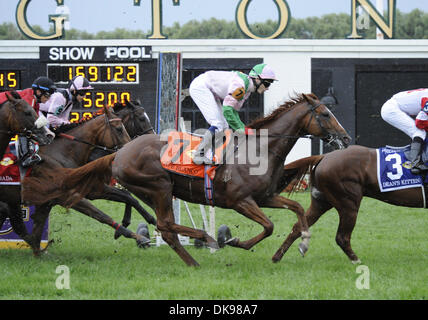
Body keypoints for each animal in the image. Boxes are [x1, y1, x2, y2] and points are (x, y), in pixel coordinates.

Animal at [30, 94, 352, 266]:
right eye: (325, 114)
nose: (346, 138)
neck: (261, 149)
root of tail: (120, 151)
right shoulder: (240, 200)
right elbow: (269, 226)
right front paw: (234, 240)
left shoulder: (265, 197)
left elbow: (296, 211)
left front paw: (300, 245)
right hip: (159, 185)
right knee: (164, 225)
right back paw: (203, 241)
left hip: (154, 191)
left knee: (165, 225)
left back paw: (193, 250)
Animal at [272, 144, 426, 264]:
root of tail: (324, 156)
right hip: (348, 204)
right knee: (341, 237)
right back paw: (356, 261)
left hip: (321, 203)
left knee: (298, 226)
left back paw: (278, 257)